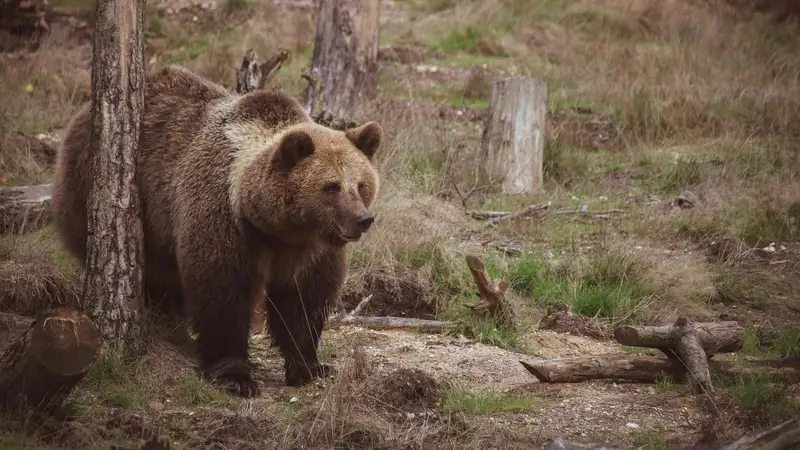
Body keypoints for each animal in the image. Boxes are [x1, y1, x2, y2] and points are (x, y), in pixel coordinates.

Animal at [51, 64, 382, 398]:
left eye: (360, 184)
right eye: (331, 186)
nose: (363, 219)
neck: (275, 227)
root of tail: (82, 114)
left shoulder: (308, 250)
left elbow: (304, 300)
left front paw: (310, 366)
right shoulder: (223, 217)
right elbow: (221, 290)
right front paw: (234, 375)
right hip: (97, 191)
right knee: (152, 274)